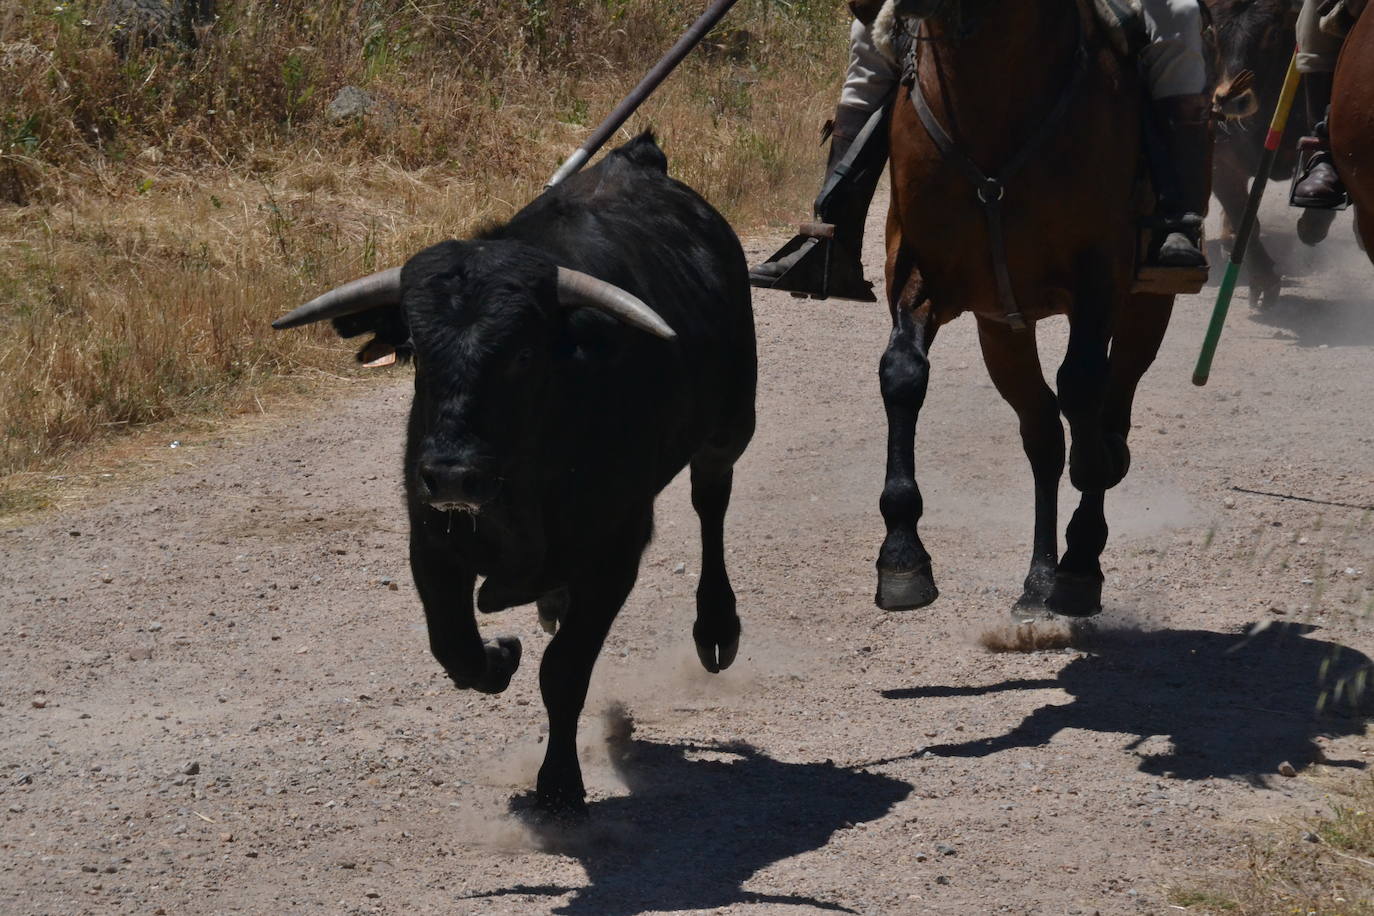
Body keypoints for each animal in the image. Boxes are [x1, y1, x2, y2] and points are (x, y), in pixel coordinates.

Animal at [274, 132, 758, 813]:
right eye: (416, 350)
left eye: (524, 354)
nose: (452, 475)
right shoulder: (431, 541)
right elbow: (454, 648)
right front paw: (499, 657)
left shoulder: (616, 553)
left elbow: (563, 672)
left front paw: (558, 785)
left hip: (731, 425)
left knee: (711, 500)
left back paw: (715, 625)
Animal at [879, 0, 1192, 620]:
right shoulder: (923, 275)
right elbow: (902, 374)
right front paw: (902, 553)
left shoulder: (1101, 276)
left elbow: (1084, 386)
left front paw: (1084, 549)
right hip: (1002, 330)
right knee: (1044, 433)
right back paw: (1040, 577)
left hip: (1148, 305)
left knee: (1110, 404)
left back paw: (1077, 553)